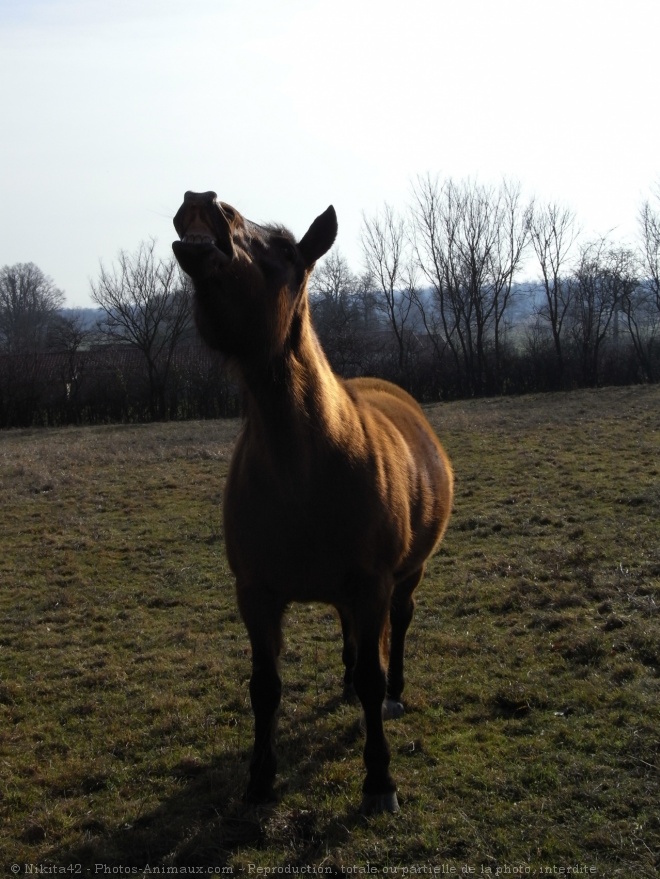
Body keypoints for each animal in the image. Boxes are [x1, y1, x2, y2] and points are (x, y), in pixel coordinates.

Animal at [171, 192, 454, 820]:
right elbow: (265, 688)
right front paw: (259, 781)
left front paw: (379, 779)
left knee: (398, 628)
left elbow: (374, 674)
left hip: (406, 576)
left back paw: (394, 694)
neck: (305, 467)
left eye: (283, 250)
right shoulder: (256, 594)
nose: (203, 202)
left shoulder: (373, 583)